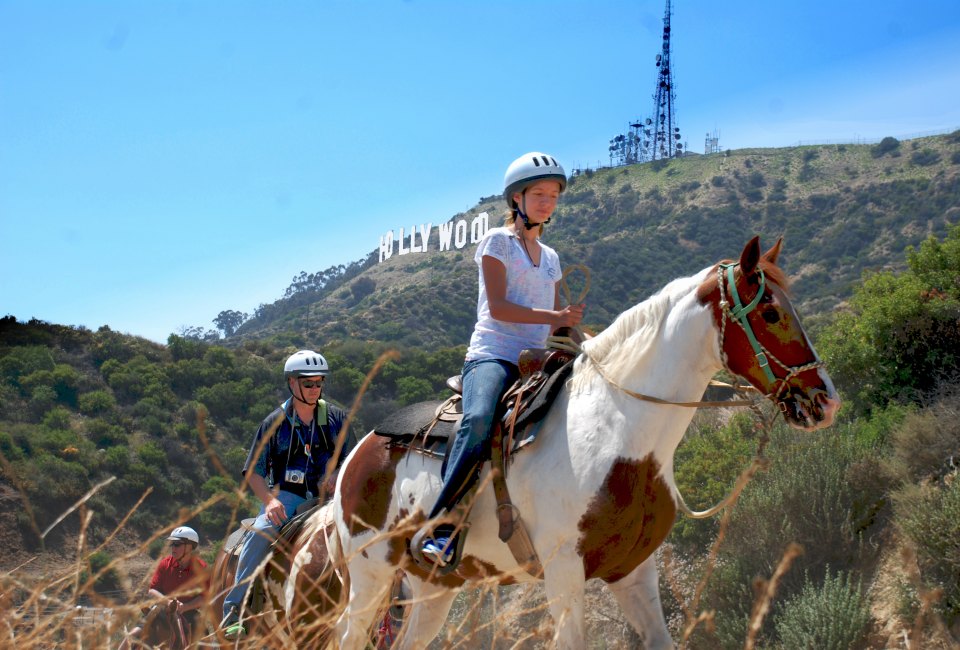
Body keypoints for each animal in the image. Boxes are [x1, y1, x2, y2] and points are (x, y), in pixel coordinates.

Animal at [332, 238, 840, 648]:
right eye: (770, 313)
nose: (825, 399)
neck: (617, 430)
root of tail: (356, 454)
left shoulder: (633, 571)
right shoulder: (564, 575)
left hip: (433, 589)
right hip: (370, 576)